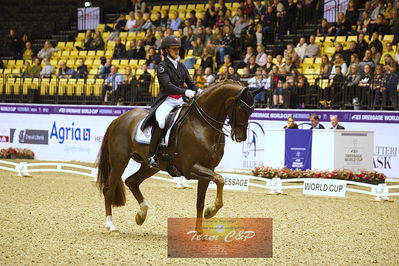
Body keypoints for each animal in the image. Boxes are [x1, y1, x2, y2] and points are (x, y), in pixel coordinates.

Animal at [95, 80, 260, 233]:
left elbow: (201, 200)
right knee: (109, 189)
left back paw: (141, 215)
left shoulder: (208, 169)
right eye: (242, 108)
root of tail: (119, 119)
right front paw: (210, 212)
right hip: (119, 161)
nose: (240, 137)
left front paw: (200, 231)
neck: (202, 124)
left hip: (150, 166)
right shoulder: (190, 168)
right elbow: (220, 179)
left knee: (132, 181)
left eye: (252, 110)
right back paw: (111, 226)